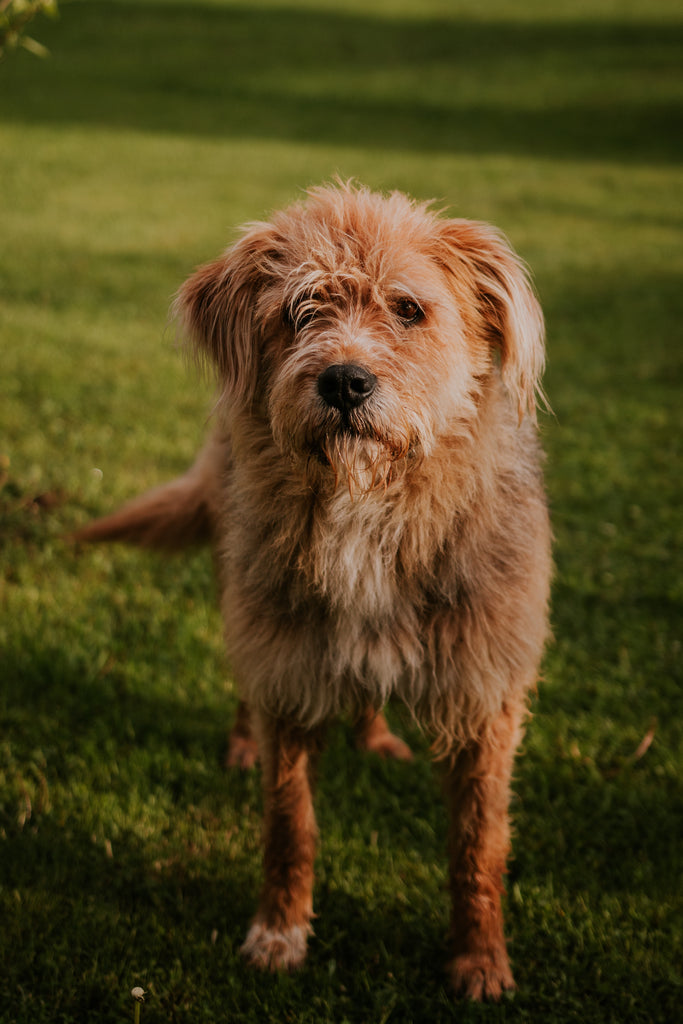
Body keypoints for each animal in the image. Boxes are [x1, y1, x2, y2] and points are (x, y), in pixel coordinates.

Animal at [77, 184, 552, 999]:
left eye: (408, 309)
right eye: (299, 311)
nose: (344, 381)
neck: (367, 504)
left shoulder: (484, 690)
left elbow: (479, 842)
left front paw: (481, 959)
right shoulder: (289, 672)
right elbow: (287, 823)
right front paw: (278, 934)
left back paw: (375, 734)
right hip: (245, 599)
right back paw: (244, 743)